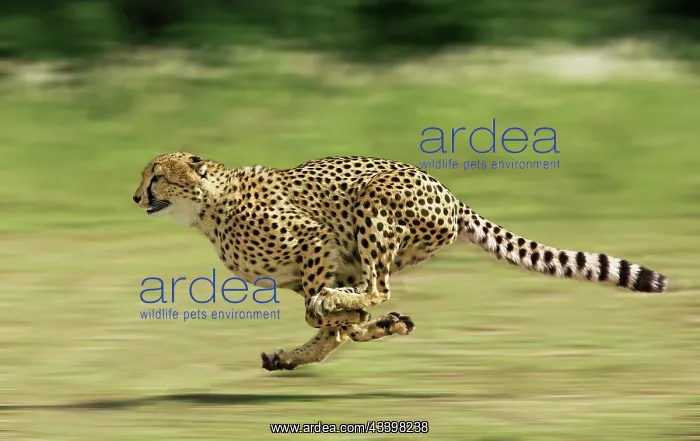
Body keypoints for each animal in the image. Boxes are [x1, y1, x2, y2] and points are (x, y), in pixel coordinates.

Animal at [133, 152, 668, 371]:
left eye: (157, 175)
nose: (136, 196)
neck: (209, 207)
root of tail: (449, 193)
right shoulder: (315, 265)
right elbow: (336, 327)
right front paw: (303, 349)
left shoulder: (314, 238)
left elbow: (325, 313)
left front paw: (334, 314)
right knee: (366, 301)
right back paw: (378, 323)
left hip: (372, 203)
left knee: (378, 286)